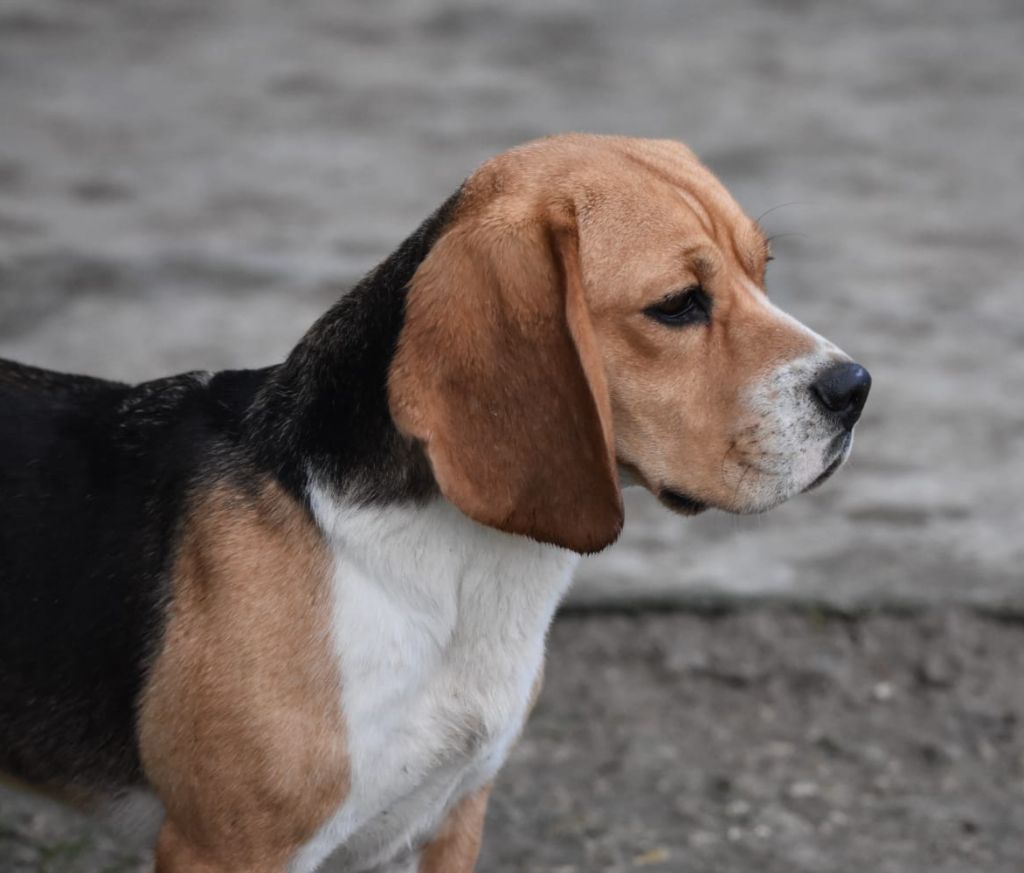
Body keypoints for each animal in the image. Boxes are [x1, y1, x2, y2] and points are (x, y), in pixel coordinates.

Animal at [0, 133, 872, 867]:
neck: (451, 563)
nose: (855, 388)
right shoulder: (228, 848)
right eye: (679, 303)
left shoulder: (447, 817)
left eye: (762, 271)